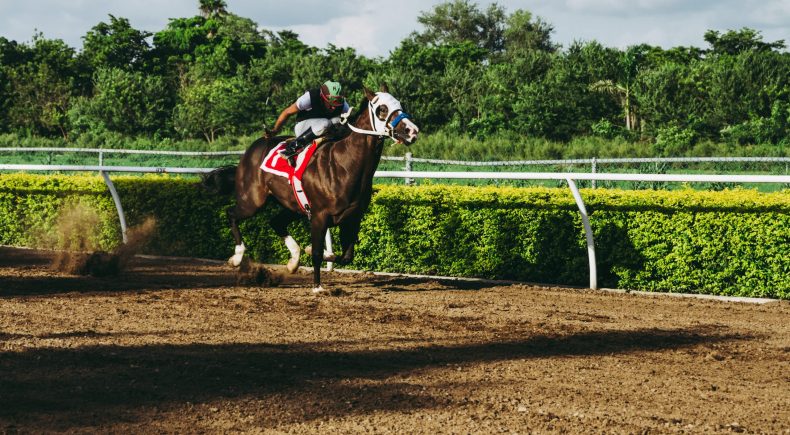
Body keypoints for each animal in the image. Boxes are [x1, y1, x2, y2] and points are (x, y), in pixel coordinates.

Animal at [209, 85, 420, 292]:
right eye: (381, 109)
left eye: (399, 104)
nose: (412, 130)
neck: (346, 164)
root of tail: (254, 146)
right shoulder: (320, 215)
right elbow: (318, 252)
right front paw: (317, 286)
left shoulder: (352, 218)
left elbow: (346, 255)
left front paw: (310, 252)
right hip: (253, 200)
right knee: (231, 214)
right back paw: (237, 257)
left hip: (293, 206)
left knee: (275, 222)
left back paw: (293, 261)